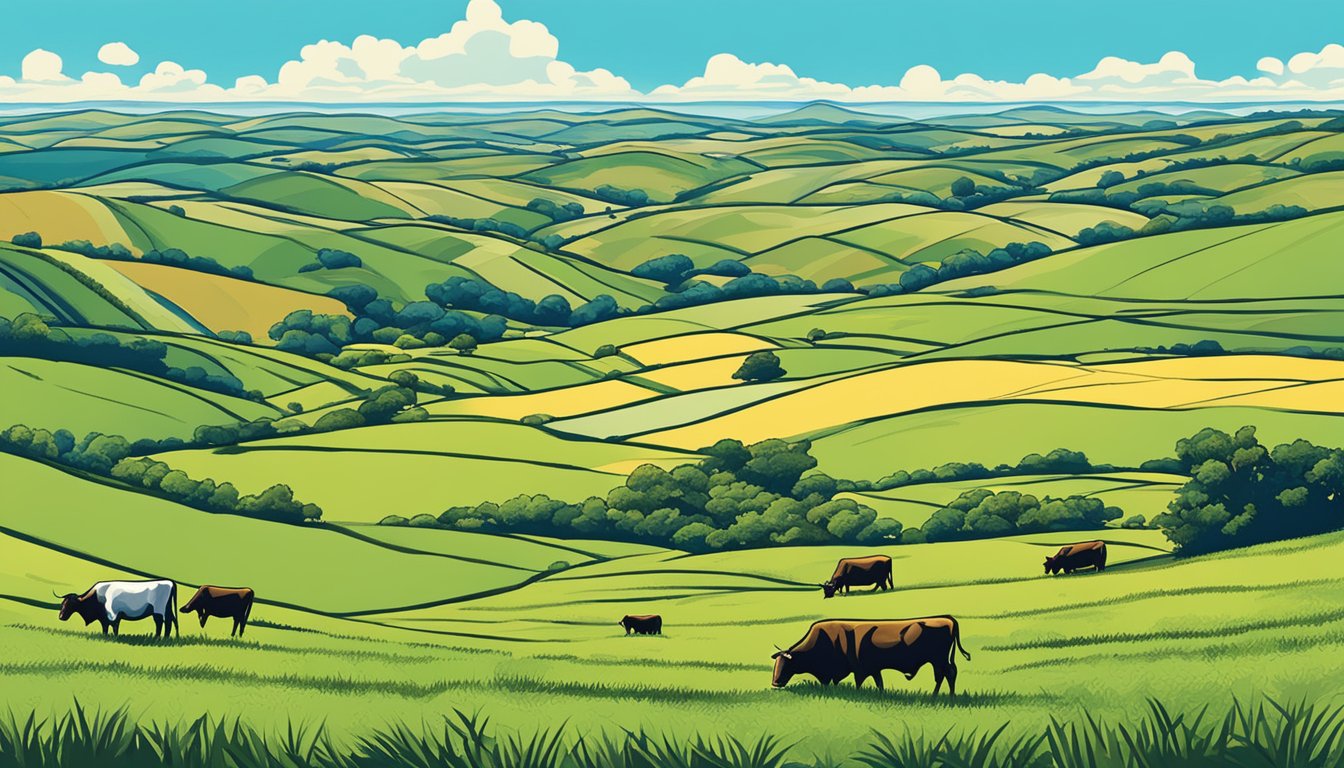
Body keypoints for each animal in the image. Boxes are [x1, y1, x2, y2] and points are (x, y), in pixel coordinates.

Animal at [774, 616, 973, 699]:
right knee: (945, 674)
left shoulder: (859, 669)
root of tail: (948, 619)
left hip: (939, 660)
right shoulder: (874, 669)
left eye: (786, 664)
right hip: (938, 661)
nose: (775, 683)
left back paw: (944, 697)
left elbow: (859, 682)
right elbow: (879, 683)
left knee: (947, 674)